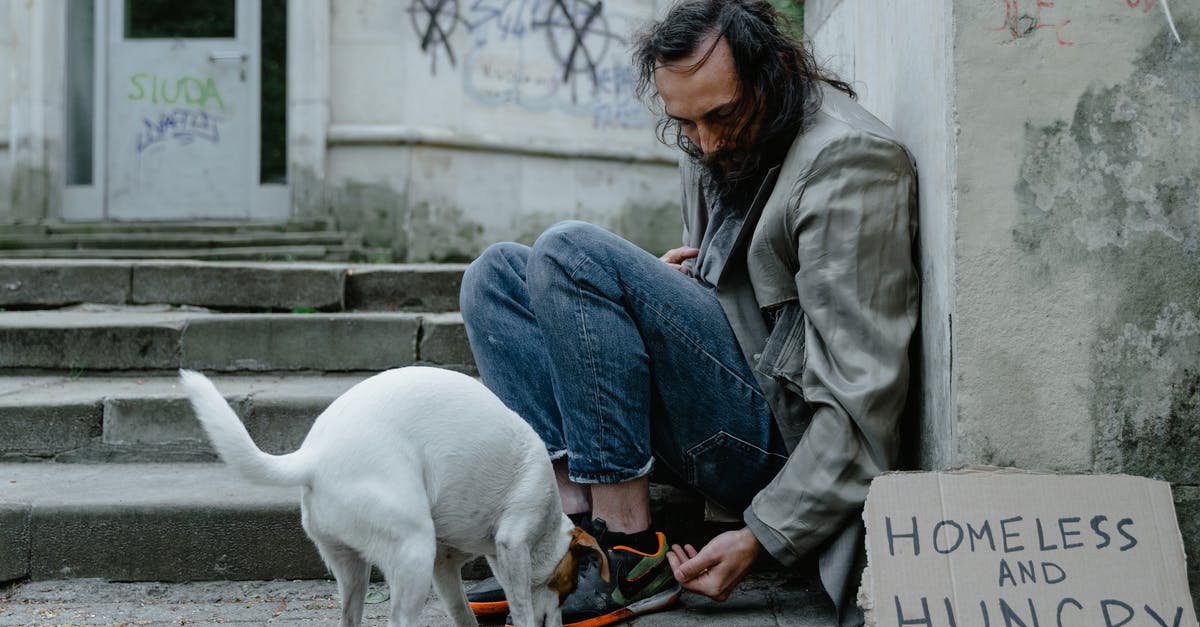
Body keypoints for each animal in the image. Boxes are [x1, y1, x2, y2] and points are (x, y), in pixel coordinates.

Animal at [178, 365, 604, 624]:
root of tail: (314, 455)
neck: (547, 527)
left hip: (354, 569)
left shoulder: (445, 566)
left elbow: (462, 612)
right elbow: (522, 607)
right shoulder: (513, 542)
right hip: (413, 552)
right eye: (568, 586)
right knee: (399, 620)